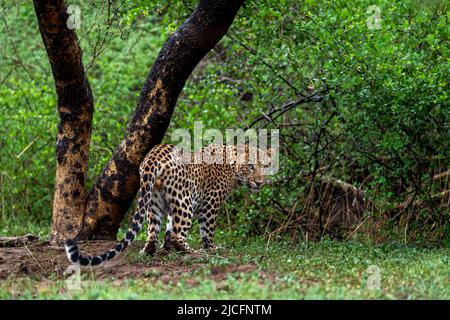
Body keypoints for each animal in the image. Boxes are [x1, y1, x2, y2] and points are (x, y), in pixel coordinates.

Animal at [64, 144, 272, 266]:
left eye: (266, 166)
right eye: (251, 166)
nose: (260, 183)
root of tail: (153, 157)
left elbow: (170, 227)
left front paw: (167, 247)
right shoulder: (211, 202)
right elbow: (207, 230)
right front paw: (211, 248)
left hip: (154, 200)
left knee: (152, 233)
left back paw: (150, 251)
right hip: (184, 201)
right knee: (180, 235)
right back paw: (193, 252)